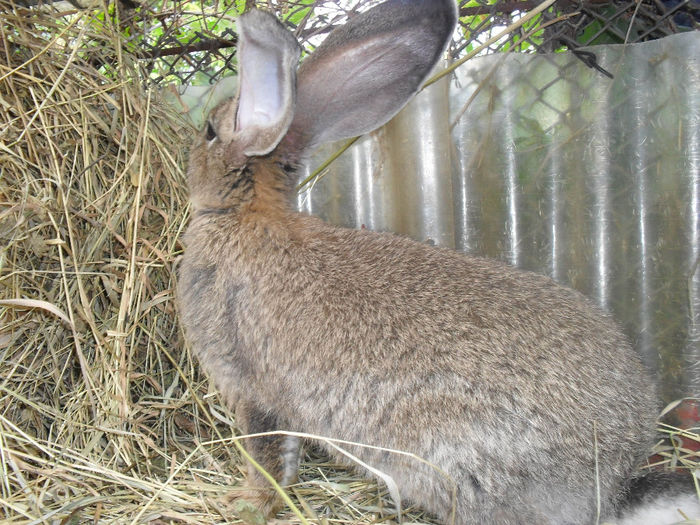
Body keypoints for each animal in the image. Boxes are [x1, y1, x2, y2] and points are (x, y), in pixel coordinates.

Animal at [176, 1, 696, 524]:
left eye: (208, 132)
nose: (194, 140)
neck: (243, 213)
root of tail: (612, 484)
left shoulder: (249, 385)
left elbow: (267, 455)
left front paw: (246, 502)